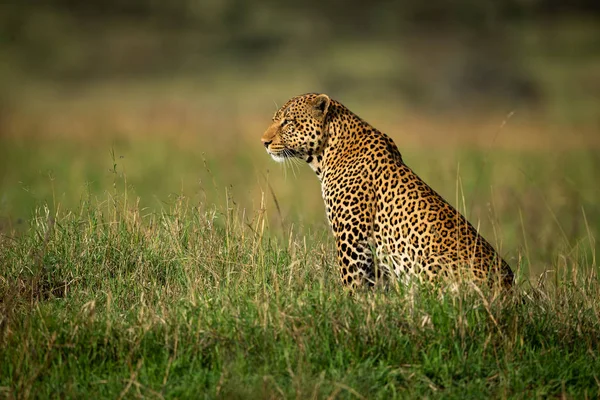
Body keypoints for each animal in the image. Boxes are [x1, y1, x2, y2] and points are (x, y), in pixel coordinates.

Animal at [260, 92, 512, 290]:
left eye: (288, 122)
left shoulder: (353, 241)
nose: (264, 142)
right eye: (275, 120)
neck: (326, 154)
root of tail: (510, 290)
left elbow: (352, 286)